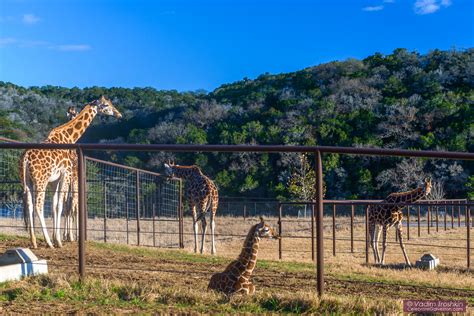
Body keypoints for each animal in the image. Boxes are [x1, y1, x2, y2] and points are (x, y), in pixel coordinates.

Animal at [20, 95, 122, 248]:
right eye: (105, 105)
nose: (119, 115)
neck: (69, 137)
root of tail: (25, 157)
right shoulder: (66, 174)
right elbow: (62, 205)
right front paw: (58, 240)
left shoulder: (55, 179)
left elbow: (56, 205)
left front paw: (57, 237)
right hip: (41, 180)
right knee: (39, 206)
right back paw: (49, 242)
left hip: (27, 181)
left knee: (30, 205)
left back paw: (34, 241)